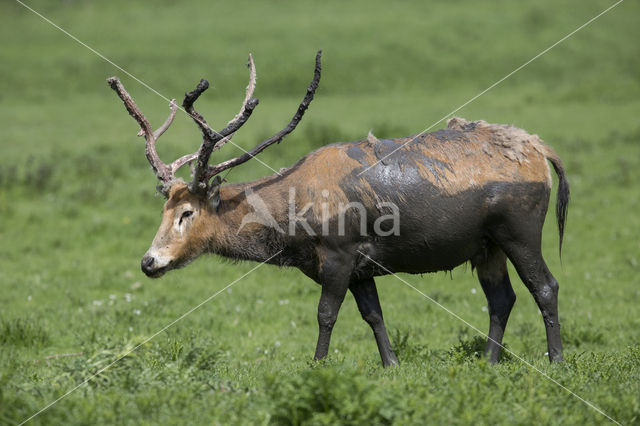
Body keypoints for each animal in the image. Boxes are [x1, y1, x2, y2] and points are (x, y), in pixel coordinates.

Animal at [106, 51, 568, 368]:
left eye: (187, 212)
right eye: (164, 210)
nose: (149, 261)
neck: (292, 220)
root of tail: (542, 151)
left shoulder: (339, 253)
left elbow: (326, 314)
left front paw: (317, 364)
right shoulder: (362, 267)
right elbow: (373, 315)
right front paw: (391, 364)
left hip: (520, 230)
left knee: (545, 286)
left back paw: (557, 360)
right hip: (486, 247)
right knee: (502, 298)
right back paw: (489, 361)